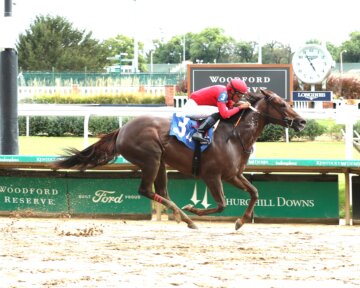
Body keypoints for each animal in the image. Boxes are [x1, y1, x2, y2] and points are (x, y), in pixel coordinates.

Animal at [52, 89, 306, 230]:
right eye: (281, 104)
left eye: (289, 103)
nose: (302, 122)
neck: (235, 135)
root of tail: (122, 129)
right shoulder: (212, 175)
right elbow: (221, 204)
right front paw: (194, 208)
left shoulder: (233, 174)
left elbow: (254, 192)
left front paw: (240, 221)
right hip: (151, 159)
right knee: (146, 190)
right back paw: (186, 217)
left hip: (161, 163)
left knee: (161, 191)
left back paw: (183, 218)